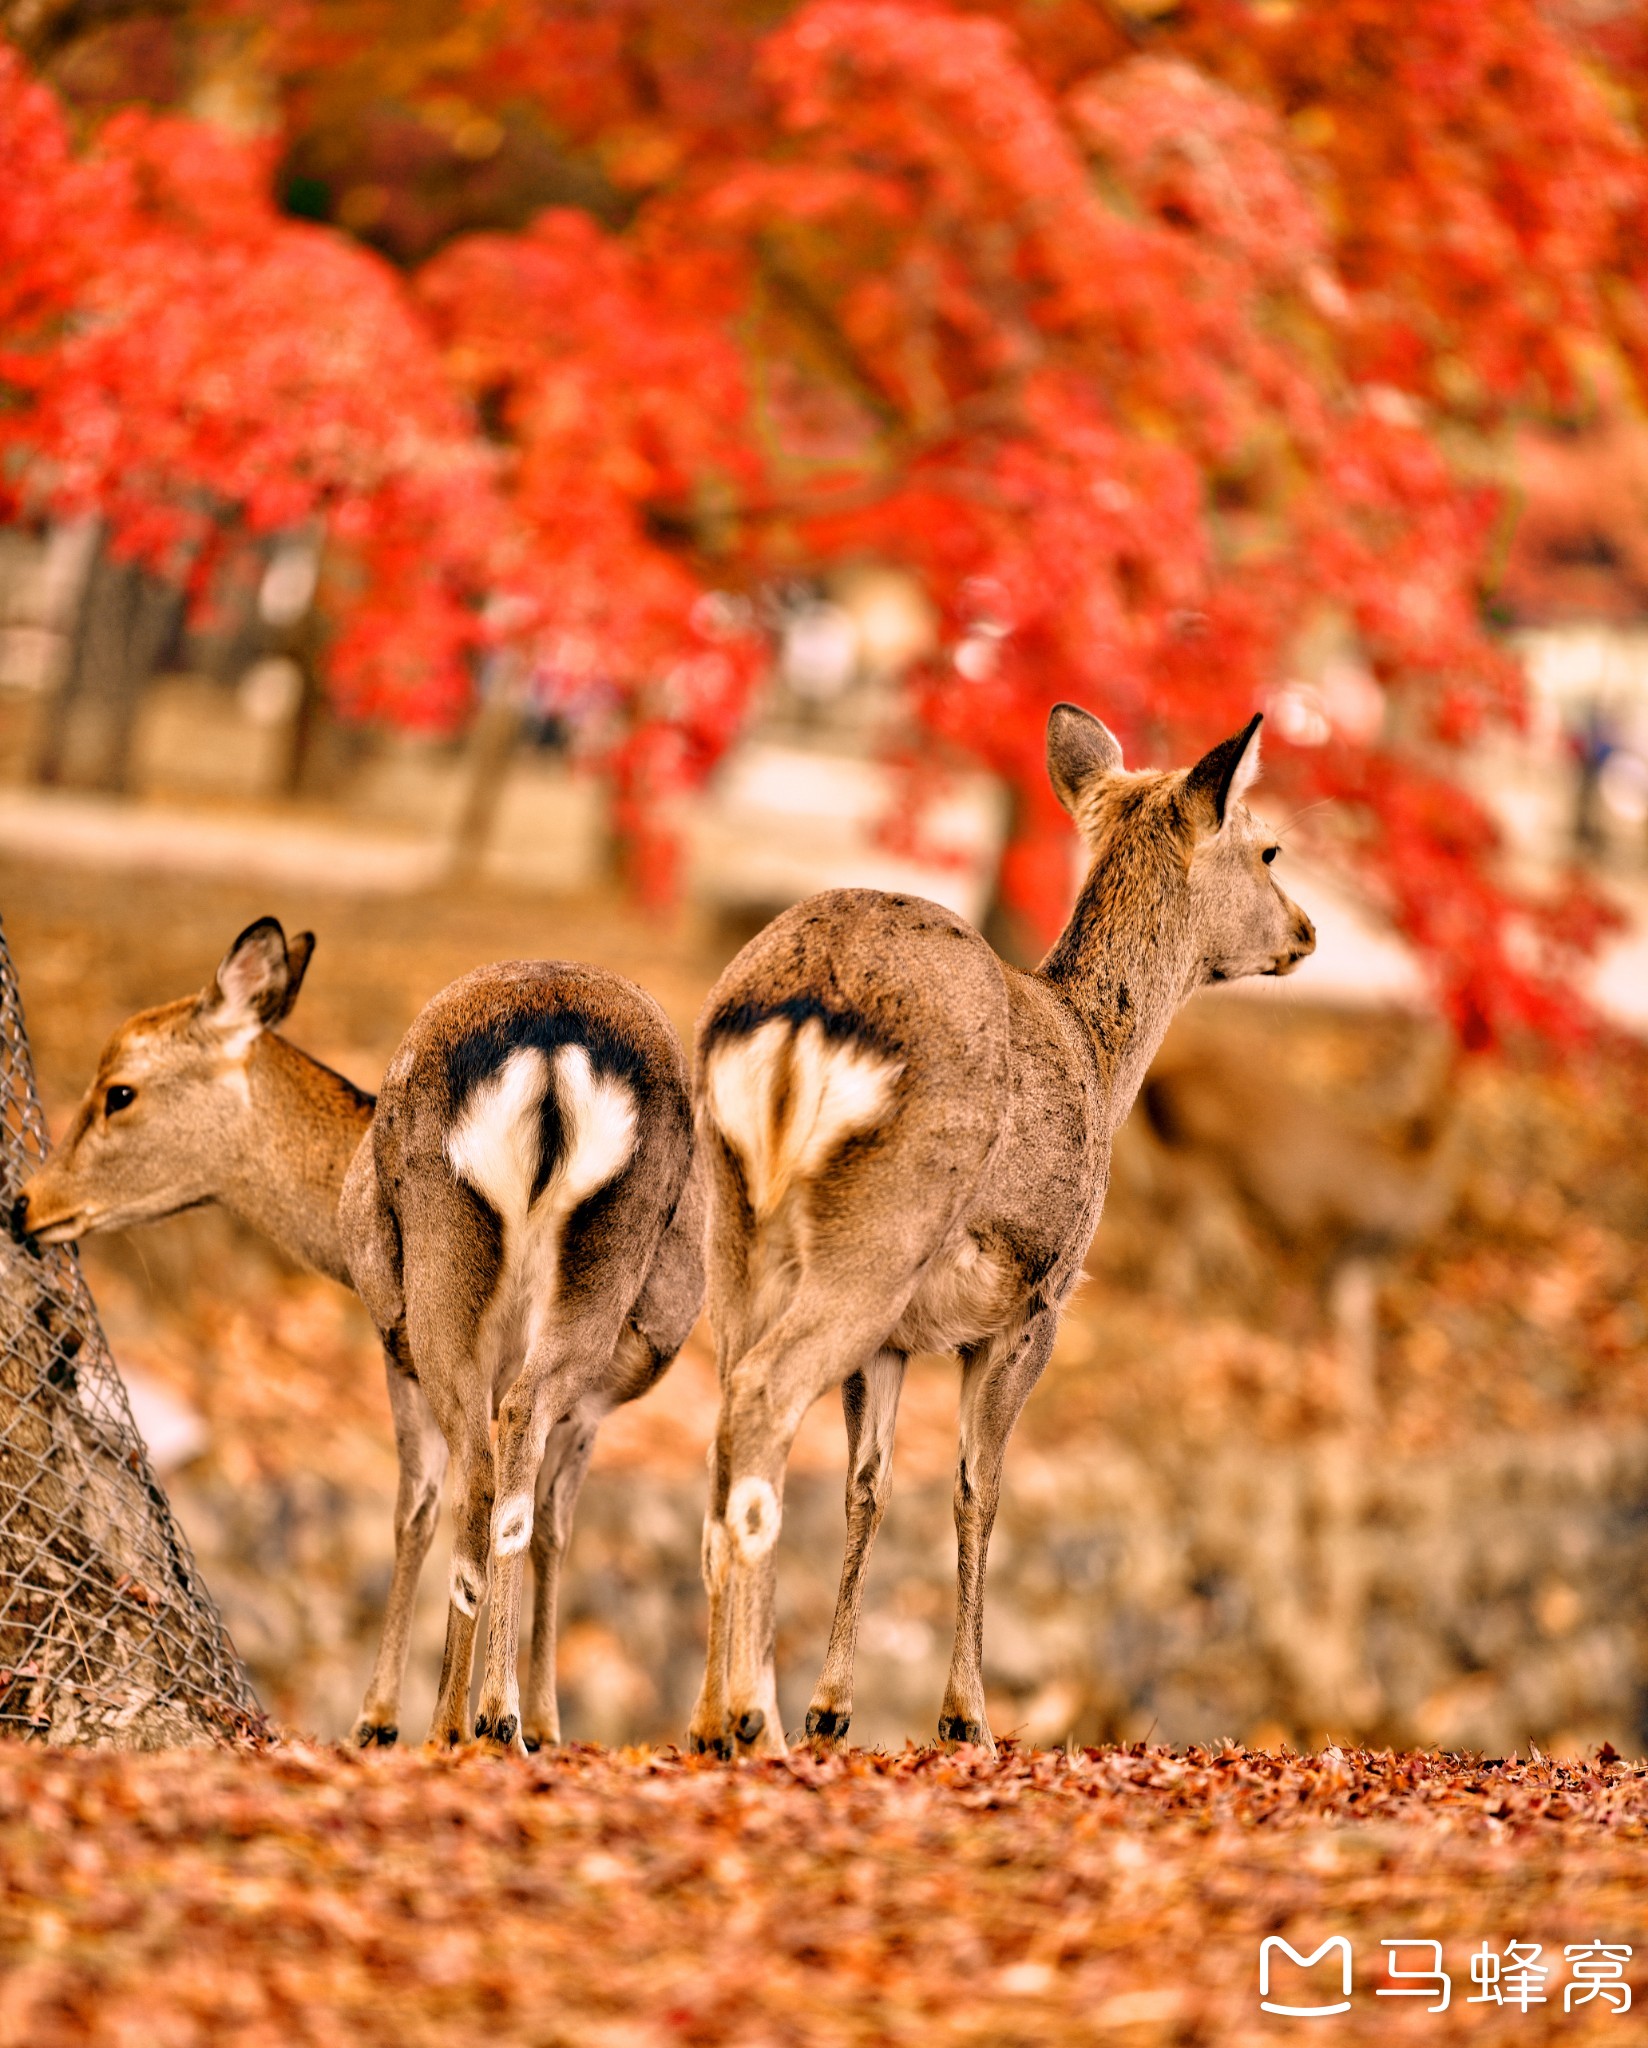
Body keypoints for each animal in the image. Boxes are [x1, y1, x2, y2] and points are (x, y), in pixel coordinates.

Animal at [16, 921, 704, 1753]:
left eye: (119, 1089)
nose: (25, 1204)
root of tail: (553, 1051)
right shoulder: (597, 1405)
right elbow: (553, 1527)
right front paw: (546, 1722)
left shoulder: (392, 1348)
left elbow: (413, 1511)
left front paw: (376, 1719)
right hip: (595, 1283)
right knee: (515, 1459)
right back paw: (500, 1714)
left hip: (438, 1289)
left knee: (478, 1471)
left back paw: (454, 1721)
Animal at [687, 704, 1318, 1761]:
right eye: (1268, 844)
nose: (1308, 931)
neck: (1102, 1063)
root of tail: (806, 999)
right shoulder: (1039, 1302)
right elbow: (979, 1486)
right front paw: (964, 1714)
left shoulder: (897, 1341)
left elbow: (869, 1482)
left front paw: (835, 1706)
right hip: (884, 1226)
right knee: (765, 1397)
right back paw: (747, 1716)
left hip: (733, 1227)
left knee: (727, 1410)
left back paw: (711, 1715)